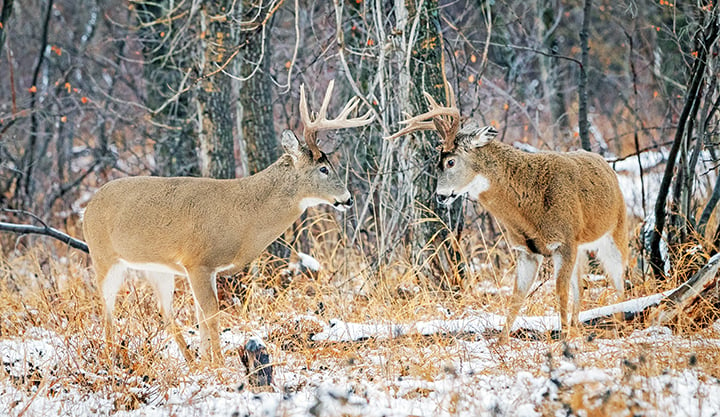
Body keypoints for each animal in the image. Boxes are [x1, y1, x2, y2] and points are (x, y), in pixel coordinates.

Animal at [84, 79, 374, 362]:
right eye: (323, 168)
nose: (348, 199)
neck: (243, 216)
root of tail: (87, 207)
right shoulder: (197, 261)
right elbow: (212, 316)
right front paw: (220, 367)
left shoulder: (206, 268)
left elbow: (201, 317)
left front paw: (207, 364)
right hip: (103, 256)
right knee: (107, 309)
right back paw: (111, 359)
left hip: (156, 267)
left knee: (165, 312)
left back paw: (188, 362)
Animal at [386, 86, 628, 340]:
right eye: (436, 163)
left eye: (451, 162)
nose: (440, 196)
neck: (529, 210)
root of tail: (606, 164)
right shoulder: (525, 250)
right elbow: (516, 298)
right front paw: (501, 341)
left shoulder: (564, 241)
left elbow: (559, 292)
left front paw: (564, 340)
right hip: (580, 247)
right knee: (580, 284)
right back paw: (579, 325)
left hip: (616, 231)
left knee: (619, 279)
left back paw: (619, 323)